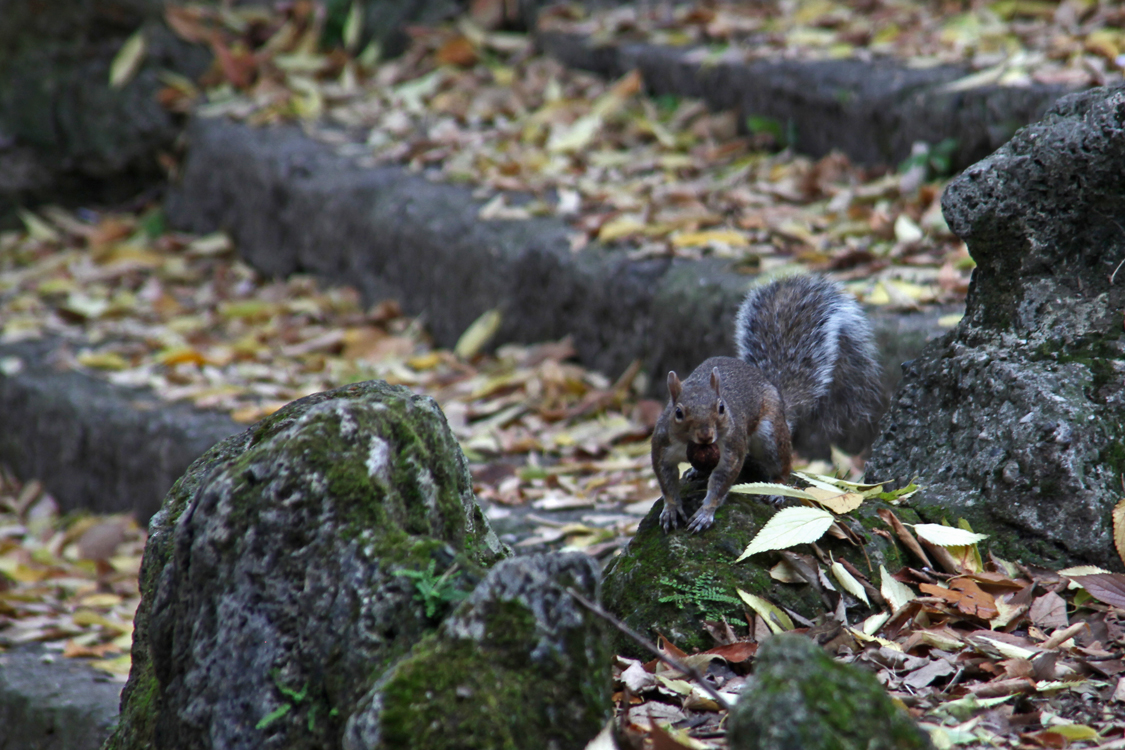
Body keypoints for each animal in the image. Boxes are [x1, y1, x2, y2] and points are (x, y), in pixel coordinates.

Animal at [652, 275, 886, 532]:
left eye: (721, 408)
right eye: (678, 412)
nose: (706, 435)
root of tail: (774, 391)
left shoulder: (733, 448)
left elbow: (721, 482)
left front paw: (705, 512)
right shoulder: (661, 445)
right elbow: (666, 481)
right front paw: (671, 509)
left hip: (771, 435)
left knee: (784, 465)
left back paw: (776, 489)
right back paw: (696, 470)